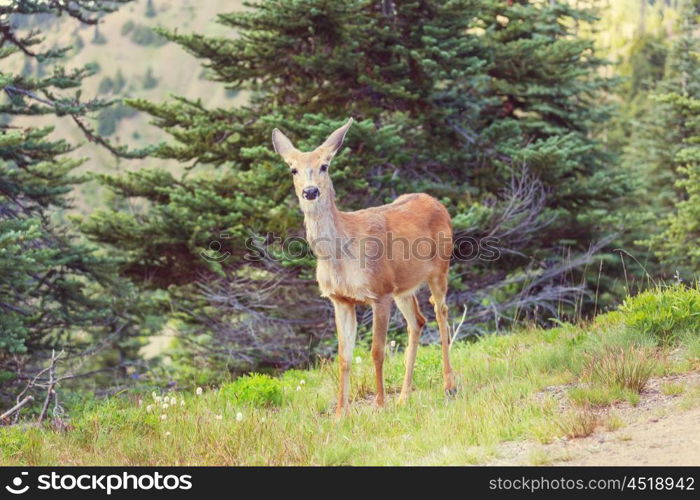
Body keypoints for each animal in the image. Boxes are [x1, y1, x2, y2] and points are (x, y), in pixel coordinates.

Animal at [270, 118, 456, 418]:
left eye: (325, 165)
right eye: (293, 168)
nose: (310, 191)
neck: (339, 257)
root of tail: (437, 203)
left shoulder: (379, 292)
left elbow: (376, 352)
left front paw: (379, 404)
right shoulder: (341, 299)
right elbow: (344, 356)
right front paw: (339, 413)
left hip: (440, 268)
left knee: (441, 313)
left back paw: (449, 386)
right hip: (403, 287)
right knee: (417, 321)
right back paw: (403, 396)